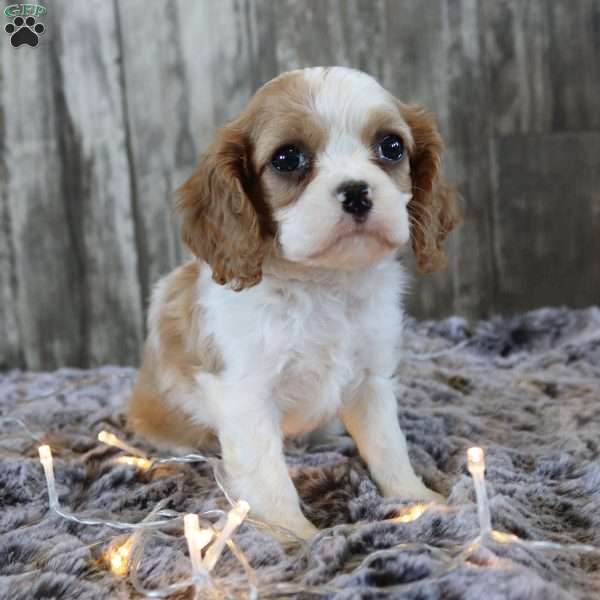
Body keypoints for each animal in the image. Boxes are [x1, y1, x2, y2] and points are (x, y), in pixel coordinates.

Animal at [129, 67, 460, 540]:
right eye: (287, 158)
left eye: (392, 147)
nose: (357, 192)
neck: (324, 284)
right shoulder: (247, 397)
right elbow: (268, 474)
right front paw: (294, 535)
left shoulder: (370, 381)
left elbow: (388, 445)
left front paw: (417, 498)